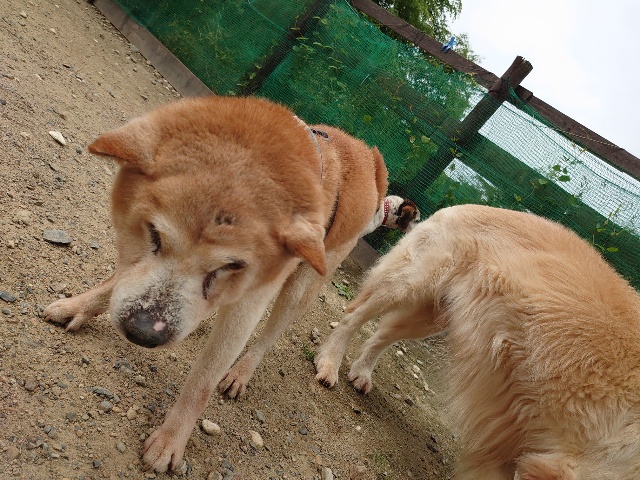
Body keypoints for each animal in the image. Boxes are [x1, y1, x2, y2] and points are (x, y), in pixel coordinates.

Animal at [43, 95, 388, 472]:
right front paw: (78, 306)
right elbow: (117, 283)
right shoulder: (137, 267)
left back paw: (240, 373)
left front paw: (170, 441)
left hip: (304, 284)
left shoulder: (249, 301)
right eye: (153, 234)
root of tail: (365, 154)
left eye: (232, 265)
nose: (142, 333)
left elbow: (203, 382)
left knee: (268, 336)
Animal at [315, 204, 640, 479]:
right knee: (352, 316)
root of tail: (460, 207)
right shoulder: (568, 466)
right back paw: (329, 364)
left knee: (381, 336)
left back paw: (361, 373)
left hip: (431, 315)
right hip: (407, 284)